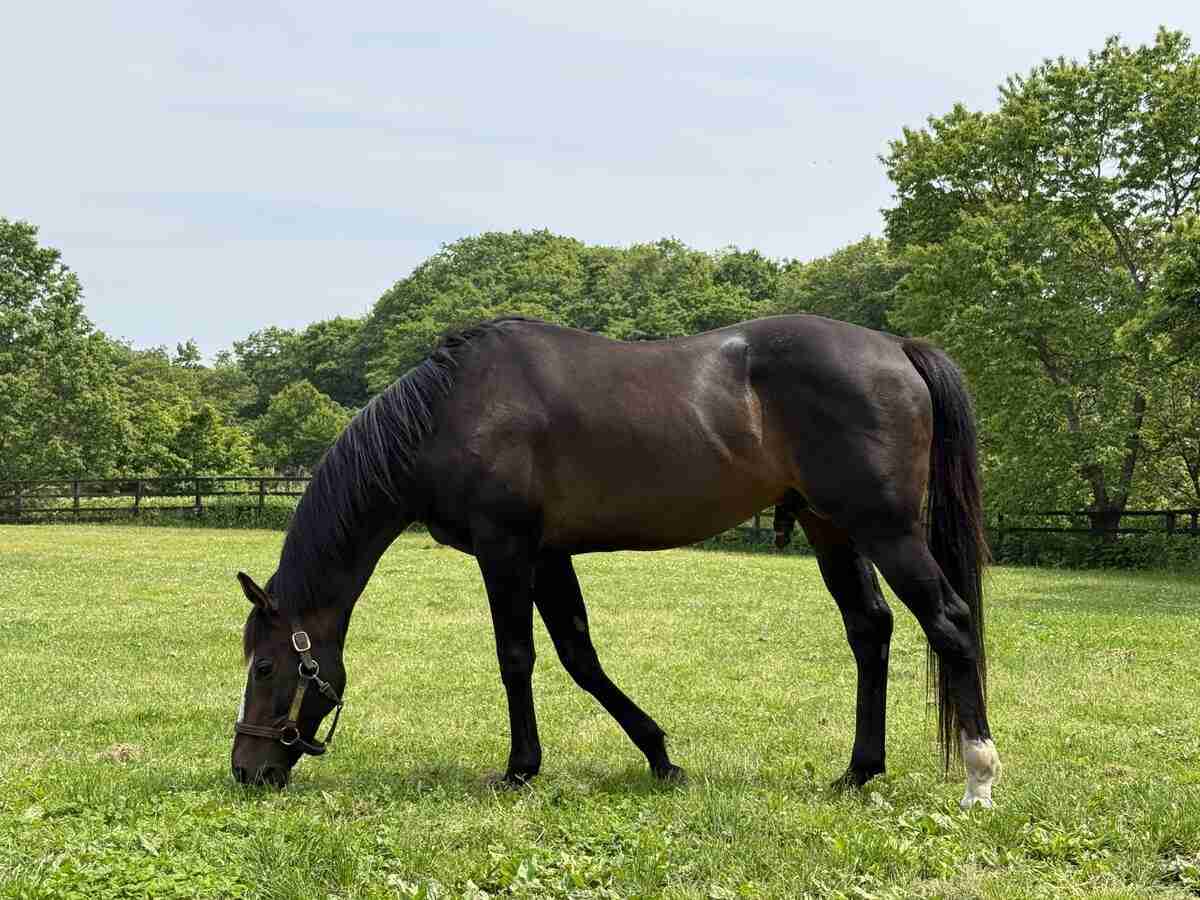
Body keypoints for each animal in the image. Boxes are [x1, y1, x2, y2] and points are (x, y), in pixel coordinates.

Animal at [232, 315, 1000, 808]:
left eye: (265, 667)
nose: (246, 769)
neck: (449, 413)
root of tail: (897, 347)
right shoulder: (549, 555)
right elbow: (580, 656)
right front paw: (661, 757)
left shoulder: (506, 548)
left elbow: (516, 657)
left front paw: (519, 770)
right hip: (829, 526)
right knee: (870, 630)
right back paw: (858, 772)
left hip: (885, 529)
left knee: (950, 622)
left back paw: (978, 777)